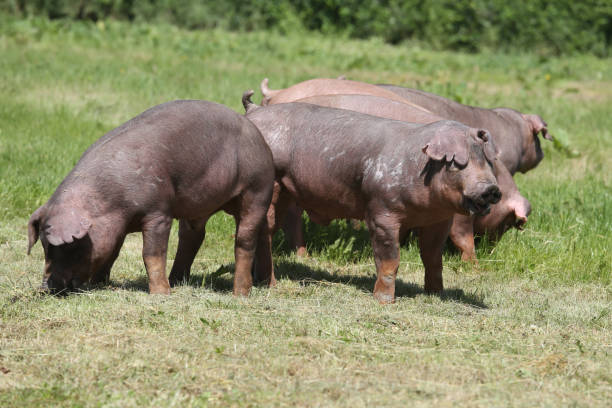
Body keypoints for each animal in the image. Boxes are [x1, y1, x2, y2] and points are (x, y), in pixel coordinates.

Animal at [27, 100, 272, 294]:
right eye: (45, 248)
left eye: (69, 247)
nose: (45, 287)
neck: (110, 203)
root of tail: (257, 135)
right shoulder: (117, 227)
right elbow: (113, 251)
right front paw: (99, 283)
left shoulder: (159, 212)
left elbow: (152, 253)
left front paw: (160, 294)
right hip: (200, 205)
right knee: (196, 237)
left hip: (257, 188)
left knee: (245, 239)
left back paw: (240, 294)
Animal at [241, 92, 500, 302]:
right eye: (457, 164)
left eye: (487, 161)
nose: (492, 189)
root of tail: (254, 112)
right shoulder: (381, 210)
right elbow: (390, 259)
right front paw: (385, 301)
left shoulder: (439, 220)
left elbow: (433, 257)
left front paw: (436, 294)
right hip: (271, 184)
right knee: (266, 230)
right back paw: (271, 285)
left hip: (286, 190)